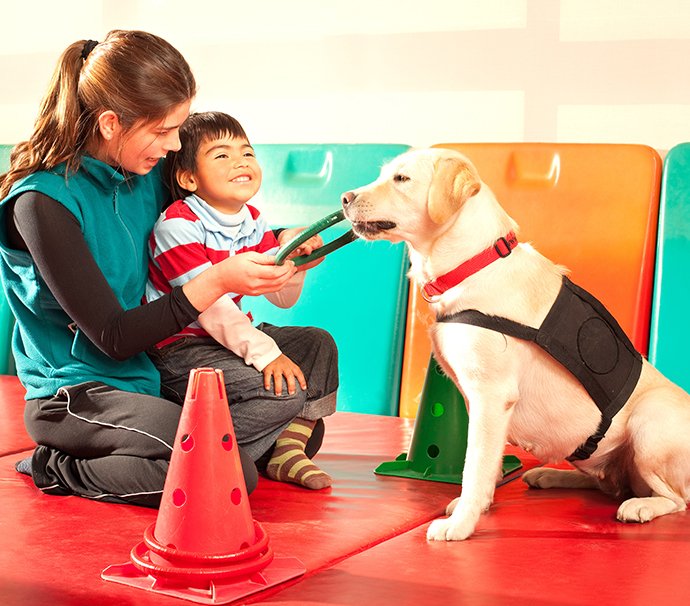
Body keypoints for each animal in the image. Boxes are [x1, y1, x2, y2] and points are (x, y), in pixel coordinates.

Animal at [342, 150, 688, 544]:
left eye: (401, 179)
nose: (345, 198)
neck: (472, 265)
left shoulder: (491, 396)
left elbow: (474, 464)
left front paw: (461, 522)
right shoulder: (477, 401)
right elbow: (485, 463)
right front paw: (478, 505)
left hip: (649, 424)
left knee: (675, 499)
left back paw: (640, 506)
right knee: (605, 484)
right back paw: (552, 475)